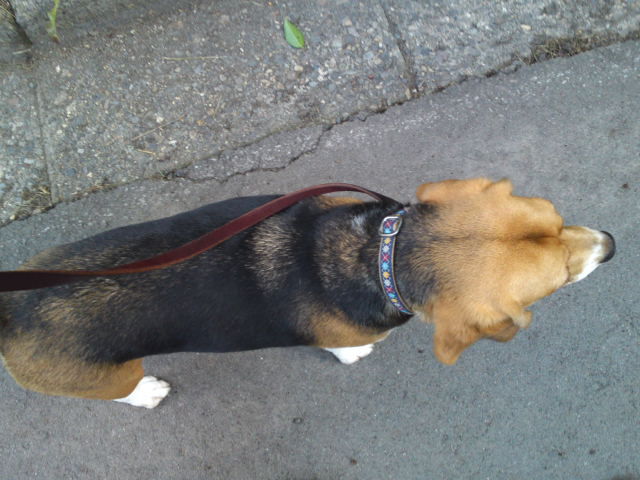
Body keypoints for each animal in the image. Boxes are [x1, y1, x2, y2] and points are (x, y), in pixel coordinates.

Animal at [0, 178, 615, 408]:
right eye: (559, 278)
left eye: (558, 217)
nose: (610, 245)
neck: (378, 257)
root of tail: (11, 309)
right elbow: (345, 350)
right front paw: (354, 354)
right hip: (104, 377)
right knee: (123, 391)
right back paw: (147, 392)